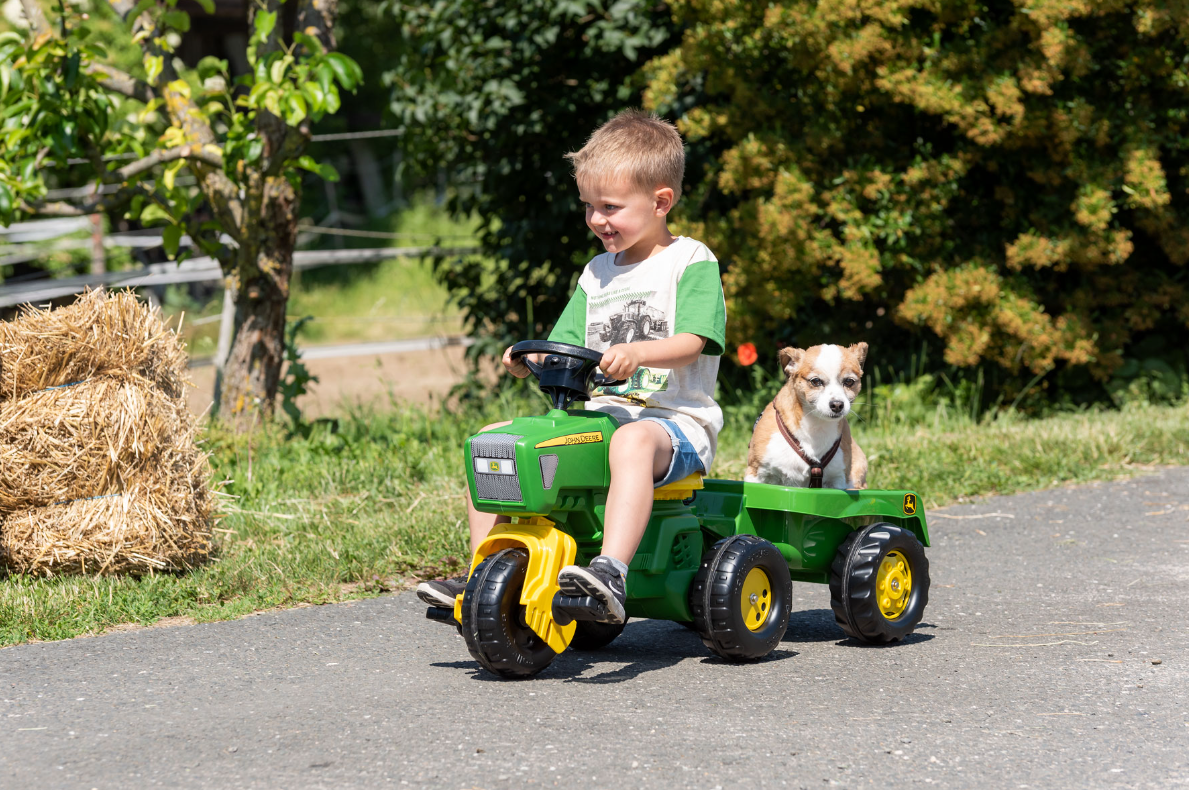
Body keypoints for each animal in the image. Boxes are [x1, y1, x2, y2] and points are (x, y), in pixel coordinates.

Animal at [746, 345, 870, 490]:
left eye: (849, 381)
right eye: (816, 381)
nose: (837, 404)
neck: (816, 426)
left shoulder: (837, 481)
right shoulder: (756, 474)